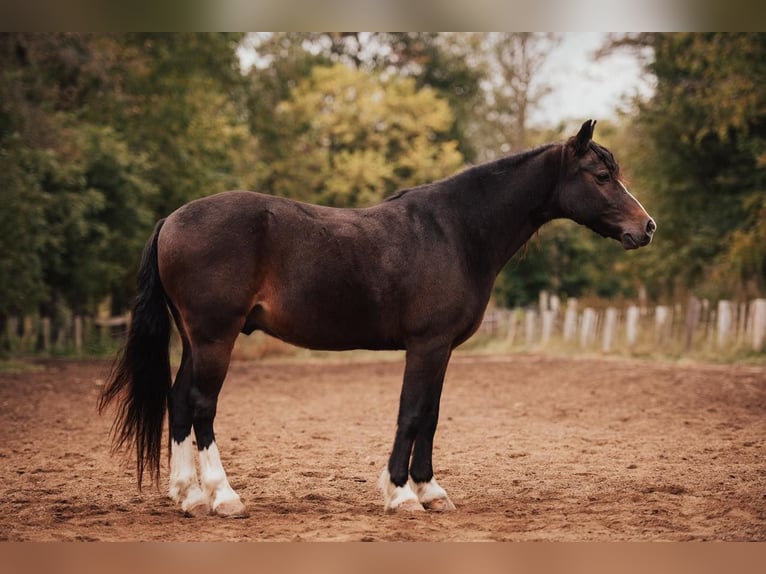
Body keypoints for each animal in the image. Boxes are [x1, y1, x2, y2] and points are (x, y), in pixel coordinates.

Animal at [99, 120, 656, 516]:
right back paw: (222, 497)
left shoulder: (441, 349)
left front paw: (431, 491)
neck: (455, 231)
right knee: (201, 407)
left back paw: (188, 496)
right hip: (216, 338)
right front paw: (401, 495)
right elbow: (410, 413)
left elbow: (430, 415)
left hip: (196, 340)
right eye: (602, 176)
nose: (647, 227)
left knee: (177, 402)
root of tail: (172, 219)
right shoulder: (426, 345)